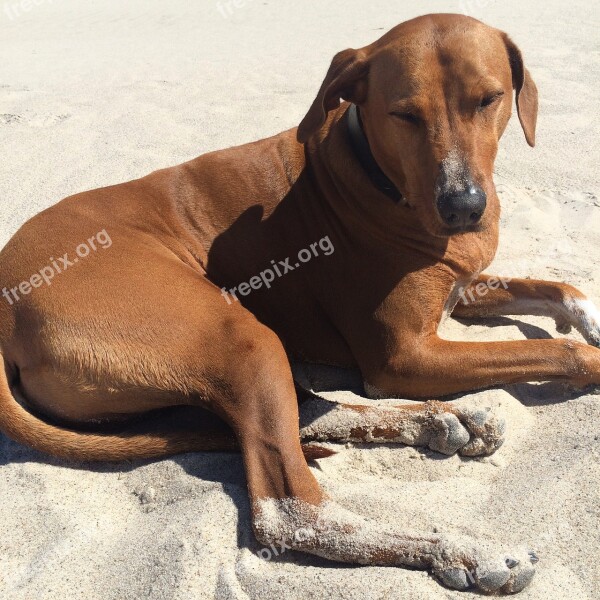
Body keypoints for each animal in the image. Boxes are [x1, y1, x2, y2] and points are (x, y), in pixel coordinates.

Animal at [1, 11, 600, 592]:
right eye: (403, 115)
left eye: (488, 99)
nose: (463, 208)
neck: (374, 175)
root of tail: (6, 307)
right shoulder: (403, 357)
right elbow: (560, 352)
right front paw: (589, 356)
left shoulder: (462, 287)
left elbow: (559, 288)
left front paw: (587, 318)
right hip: (235, 334)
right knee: (291, 510)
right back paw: (458, 546)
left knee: (302, 411)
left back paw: (442, 420)